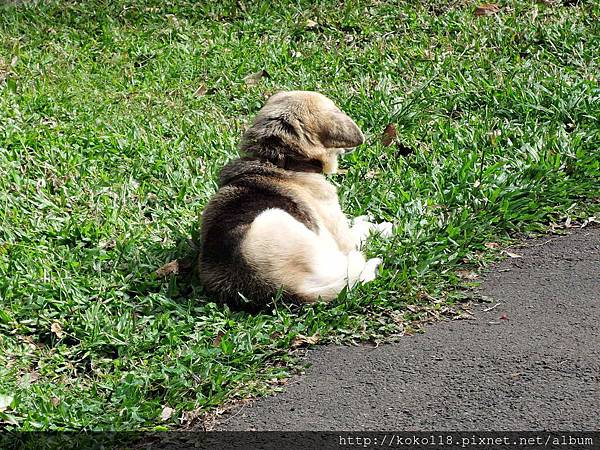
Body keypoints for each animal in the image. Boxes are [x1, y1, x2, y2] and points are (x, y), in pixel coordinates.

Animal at [198, 91, 394, 310]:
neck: (280, 161)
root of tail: (282, 290)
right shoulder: (342, 237)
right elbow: (359, 231)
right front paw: (381, 227)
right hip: (279, 219)